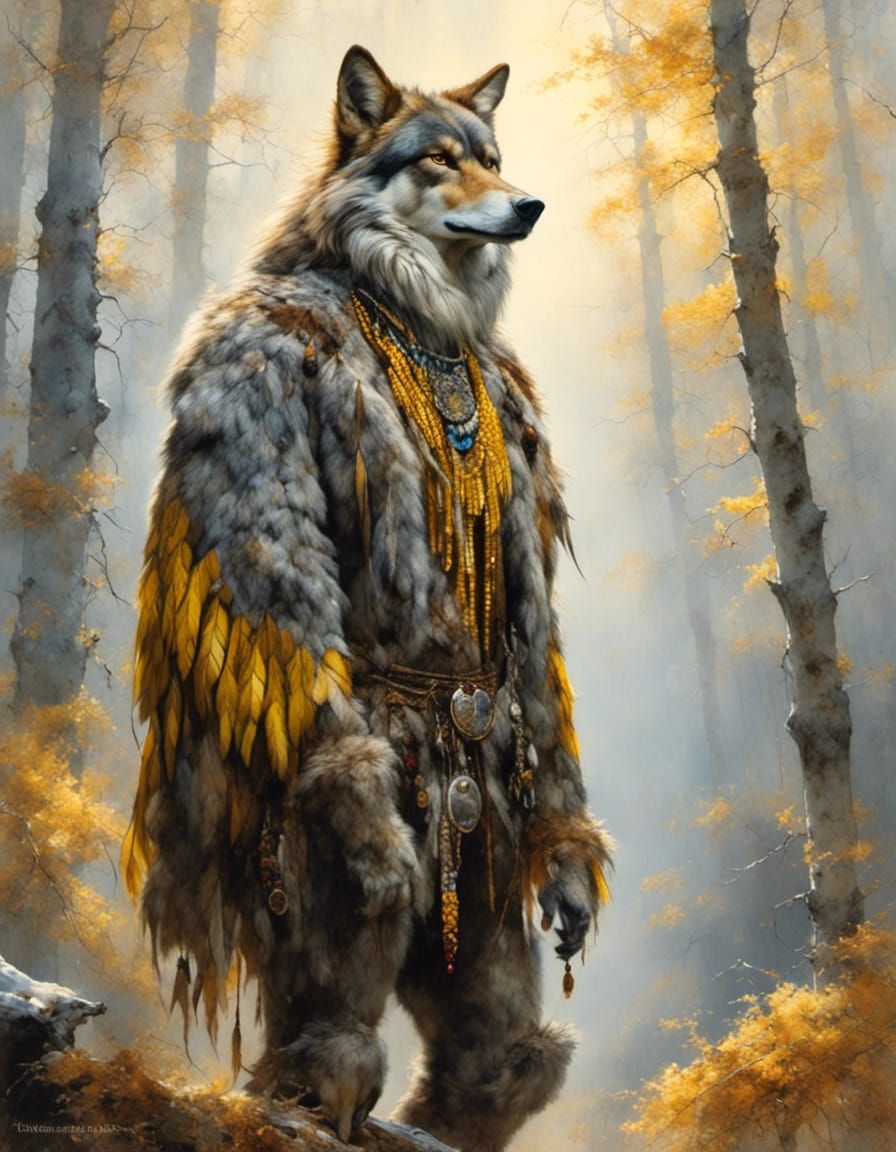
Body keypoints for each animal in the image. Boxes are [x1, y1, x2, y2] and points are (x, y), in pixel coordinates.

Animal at [123, 45, 611, 1152]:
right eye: (438, 160)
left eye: (492, 159)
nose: (530, 205)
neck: (417, 315)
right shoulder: (252, 393)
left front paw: (569, 877)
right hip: (335, 862)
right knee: (327, 1042)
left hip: (477, 876)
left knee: (499, 1056)